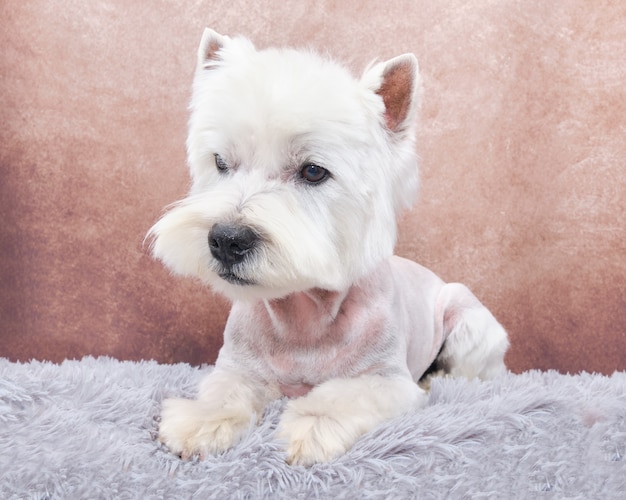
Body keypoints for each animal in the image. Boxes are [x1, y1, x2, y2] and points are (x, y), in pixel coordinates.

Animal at [147, 26, 508, 464]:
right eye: (220, 162)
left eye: (314, 172)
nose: (227, 240)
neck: (304, 317)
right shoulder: (238, 365)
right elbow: (224, 390)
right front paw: (198, 421)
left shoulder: (387, 380)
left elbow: (343, 395)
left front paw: (311, 425)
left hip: (468, 322)